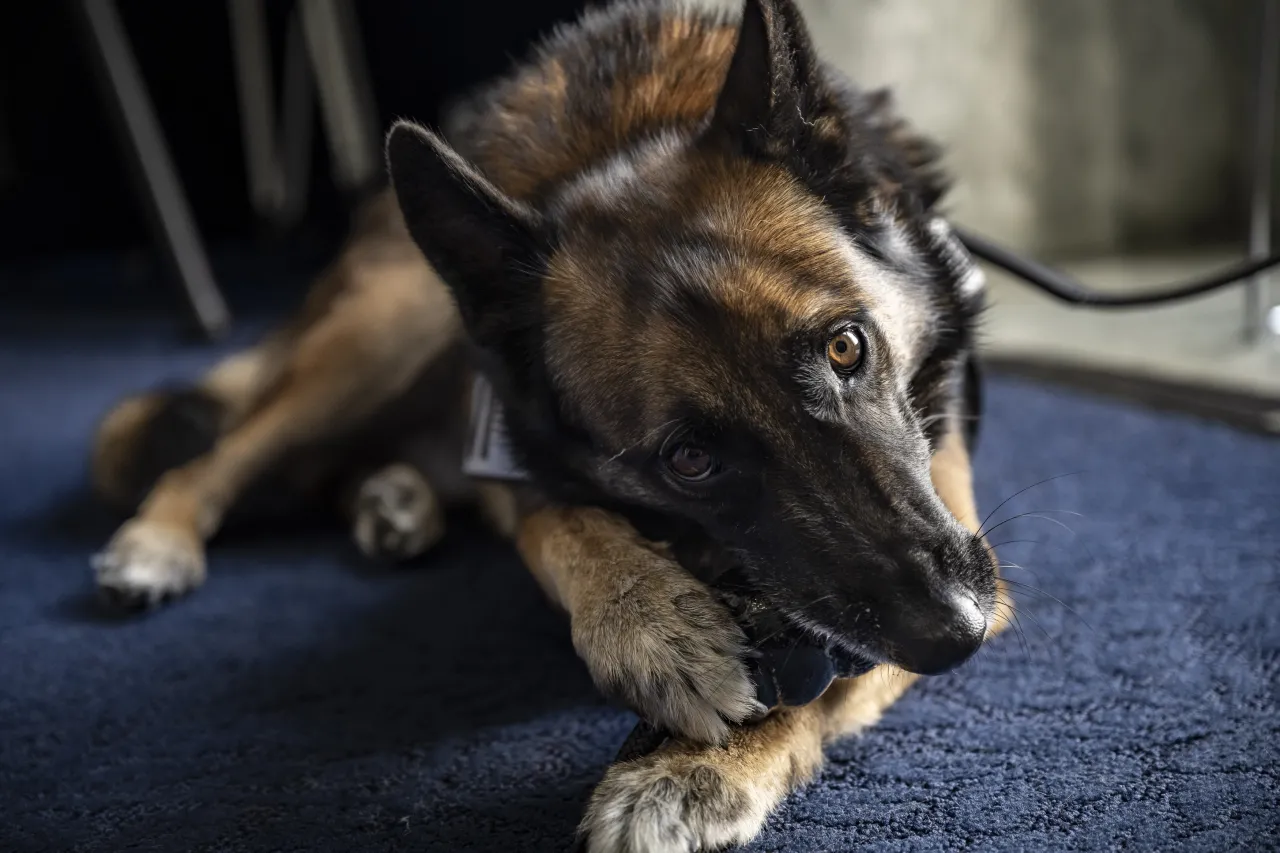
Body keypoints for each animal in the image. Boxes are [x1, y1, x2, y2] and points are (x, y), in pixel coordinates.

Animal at [87, 3, 1008, 845]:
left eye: (847, 345)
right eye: (690, 460)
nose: (955, 630)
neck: (625, 132)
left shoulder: (951, 504)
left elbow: (832, 669)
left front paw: (692, 767)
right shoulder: (523, 454)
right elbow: (563, 522)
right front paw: (652, 626)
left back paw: (392, 501)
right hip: (392, 318)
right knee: (220, 458)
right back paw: (160, 540)